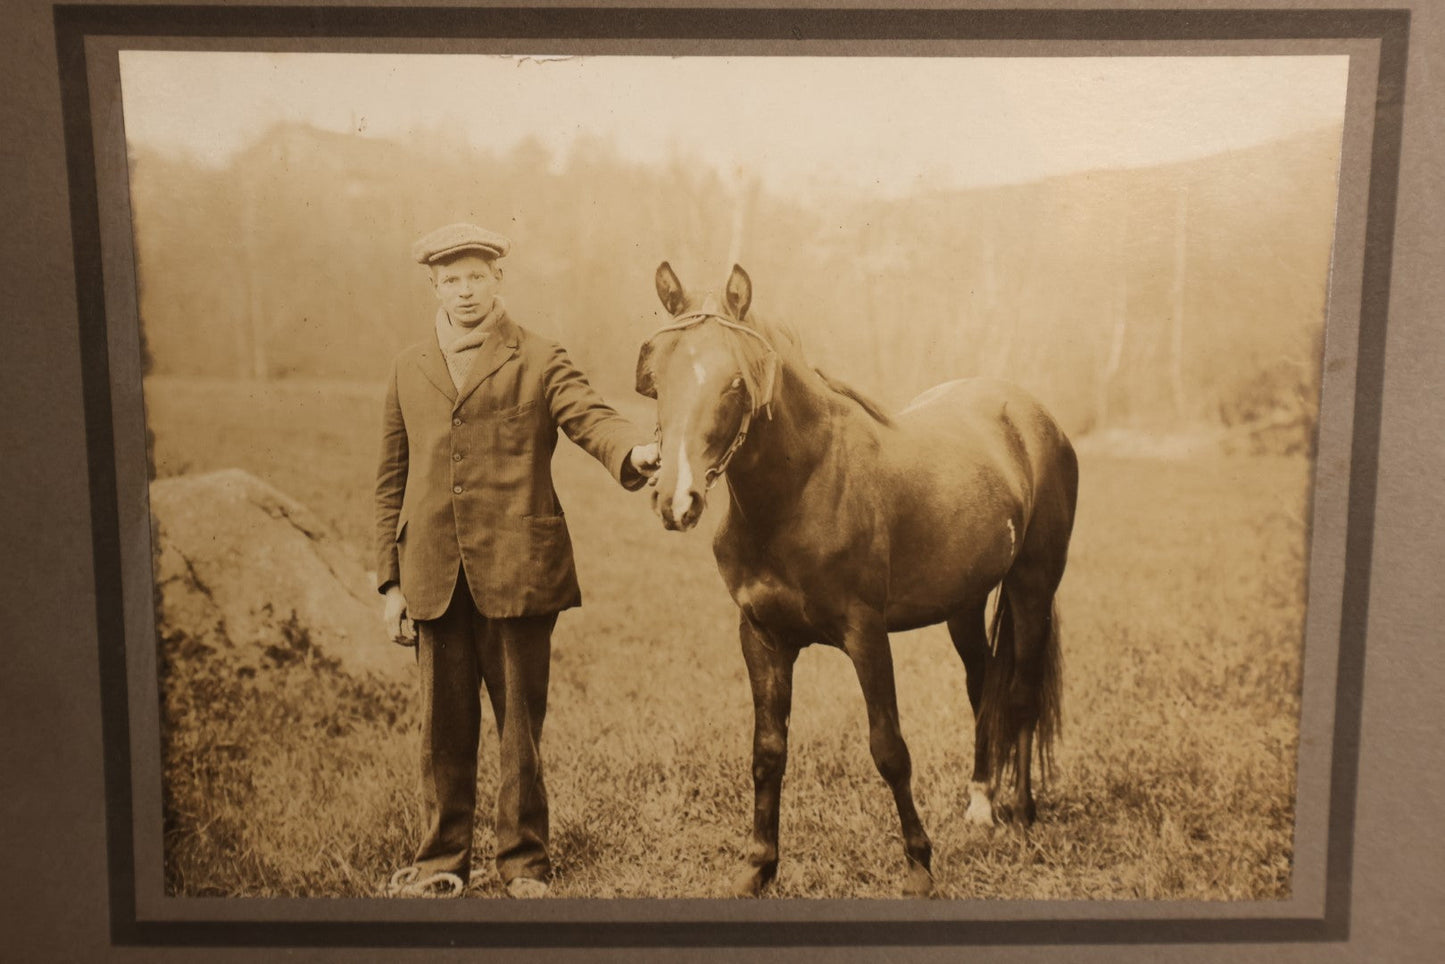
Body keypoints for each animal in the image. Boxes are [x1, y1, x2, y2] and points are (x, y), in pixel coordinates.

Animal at [634, 262, 1079, 898]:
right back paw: (981, 804)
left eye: (735, 383)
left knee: (1018, 694)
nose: (677, 498)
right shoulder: (762, 638)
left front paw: (919, 866)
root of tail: (1032, 416)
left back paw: (1019, 814)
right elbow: (768, 751)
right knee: (982, 685)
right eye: (657, 376)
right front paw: (758, 867)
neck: (800, 490)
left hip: (1032, 586)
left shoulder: (866, 635)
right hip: (964, 604)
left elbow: (889, 748)